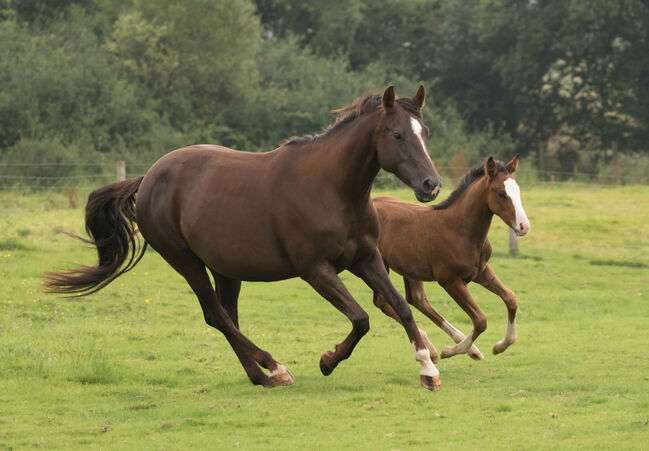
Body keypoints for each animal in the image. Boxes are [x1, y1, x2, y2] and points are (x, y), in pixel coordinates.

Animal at [45, 88, 446, 392]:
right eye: (398, 135)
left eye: (425, 132)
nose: (432, 185)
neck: (334, 190)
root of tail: (148, 178)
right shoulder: (315, 270)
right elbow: (361, 318)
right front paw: (328, 360)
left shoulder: (366, 259)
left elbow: (401, 306)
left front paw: (428, 368)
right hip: (186, 262)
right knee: (217, 316)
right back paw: (275, 367)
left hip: (225, 269)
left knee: (228, 316)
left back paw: (261, 375)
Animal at [372, 157, 528, 386]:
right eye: (501, 193)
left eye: (517, 191)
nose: (524, 226)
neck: (459, 229)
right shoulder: (450, 281)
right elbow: (480, 320)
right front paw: (450, 351)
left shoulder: (481, 272)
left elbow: (510, 298)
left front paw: (500, 346)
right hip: (380, 266)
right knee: (385, 302)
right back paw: (439, 349)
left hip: (408, 268)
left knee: (416, 299)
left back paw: (444, 349)